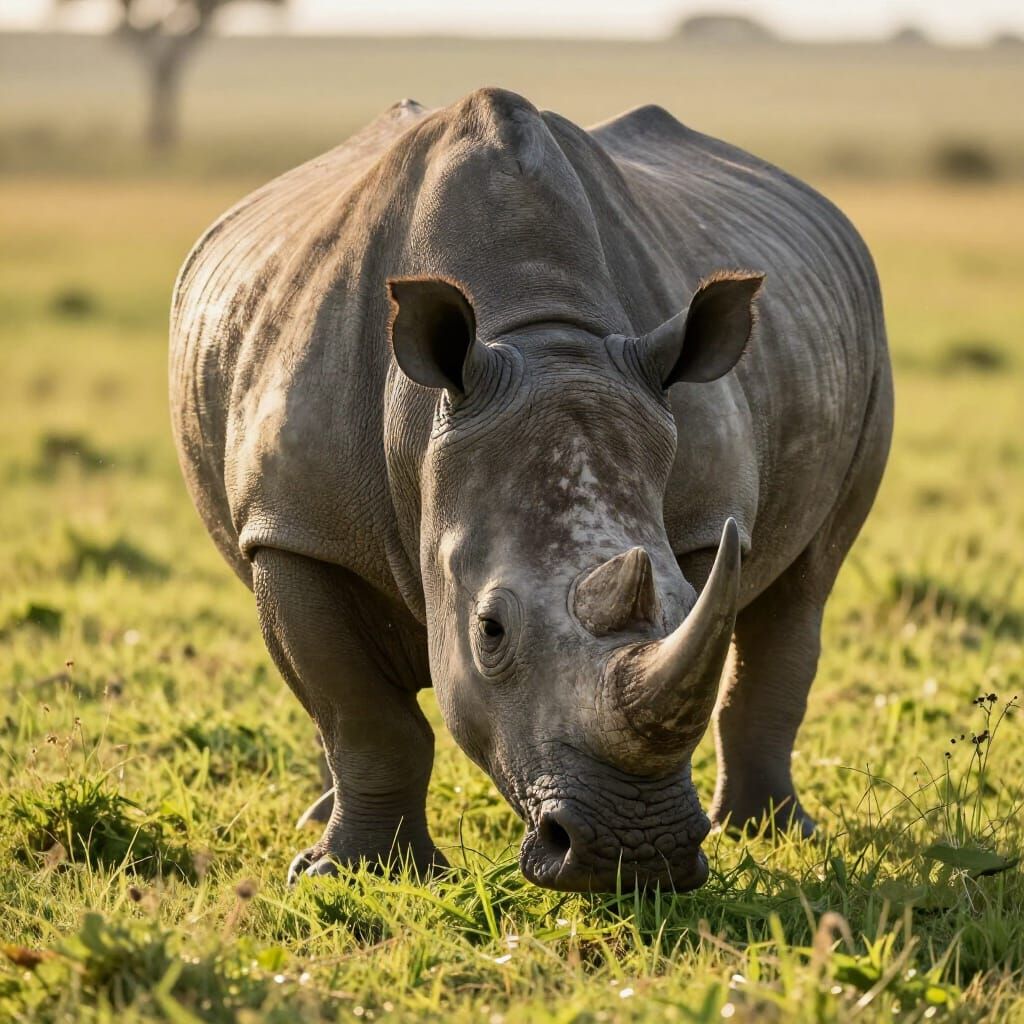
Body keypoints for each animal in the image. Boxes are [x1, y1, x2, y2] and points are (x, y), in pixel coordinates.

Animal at [170, 88, 892, 892]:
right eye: (490, 631)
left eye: (679, 602)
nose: (632, 854)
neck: (536, 333)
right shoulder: (295, 528)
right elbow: (363, 716)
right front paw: (355, 875)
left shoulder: (709, 518)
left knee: (805, 588)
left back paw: (771, 831)